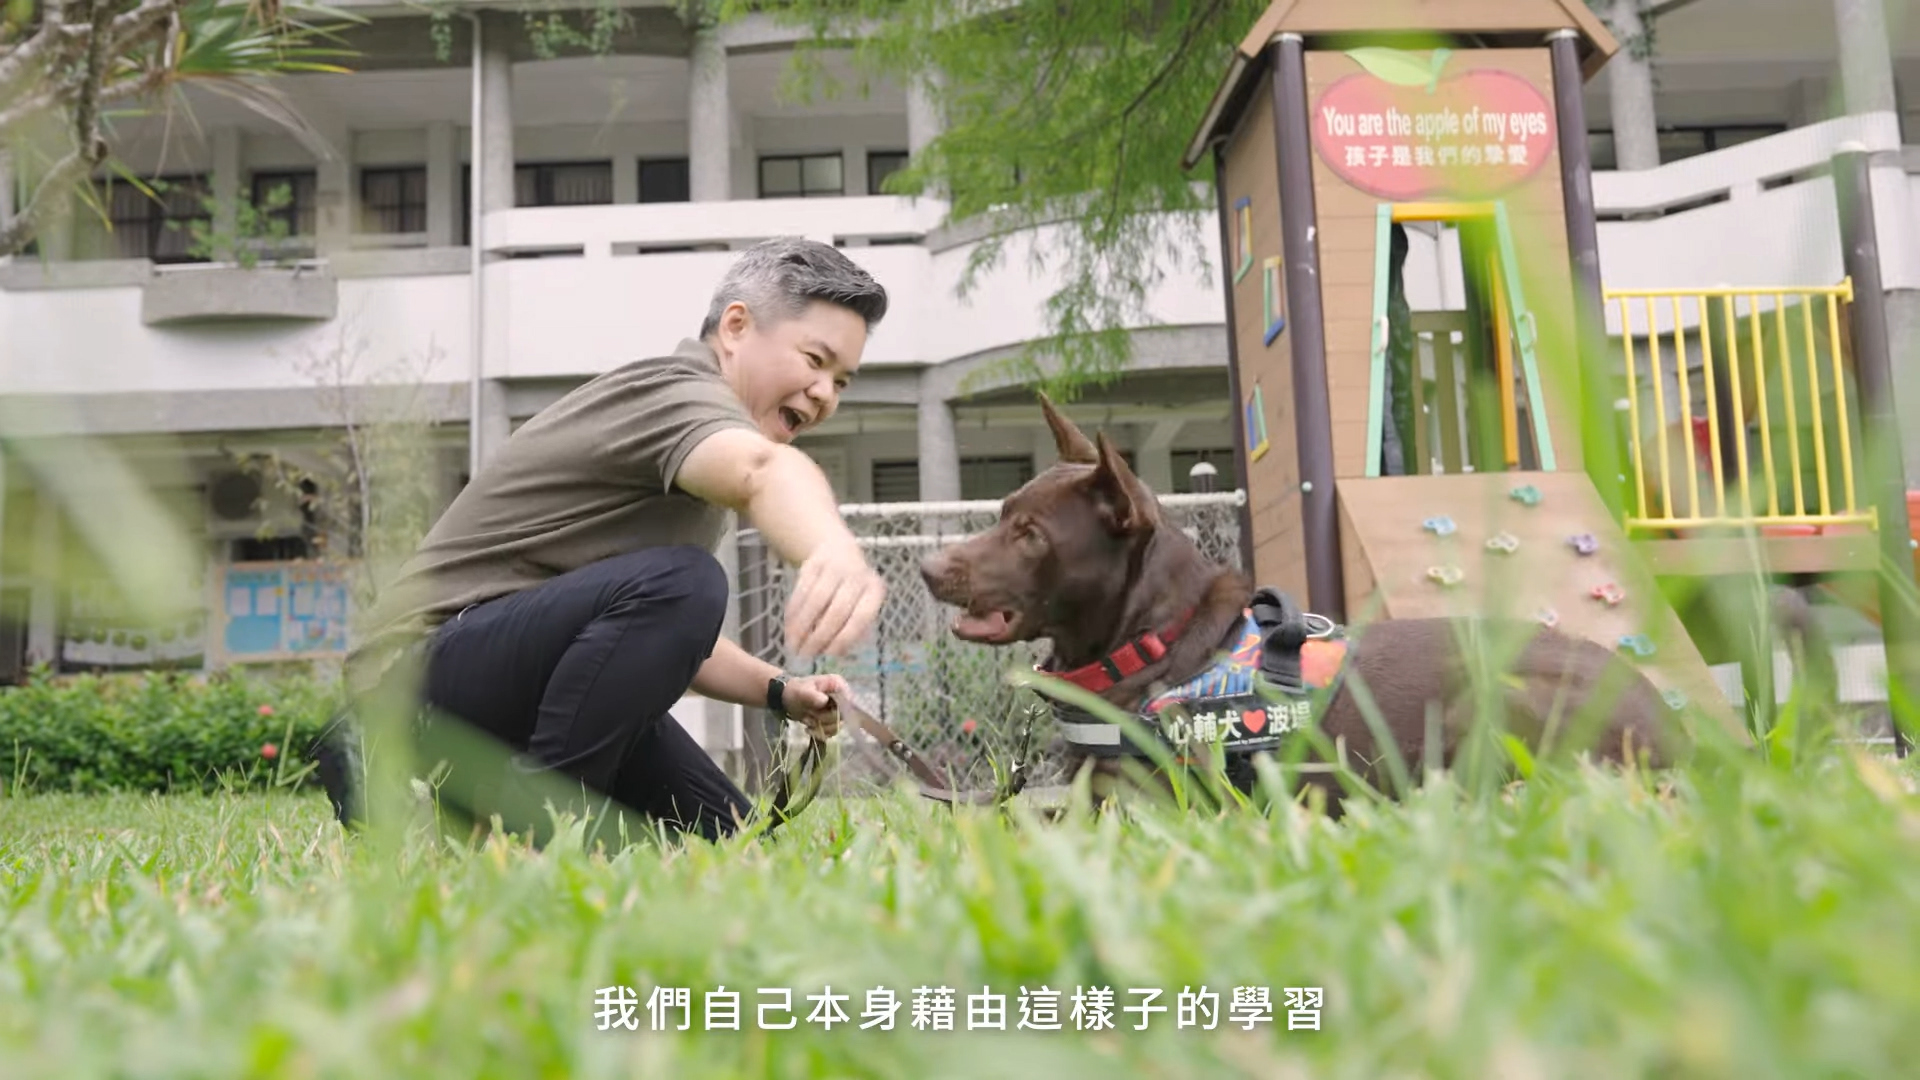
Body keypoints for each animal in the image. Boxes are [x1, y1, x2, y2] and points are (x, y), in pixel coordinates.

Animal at [919, 394, 1687, 814]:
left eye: (1029, 535)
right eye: (1002, 513)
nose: (927, 570)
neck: (1149, 640)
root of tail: (1683, 732)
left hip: (1490, 698)